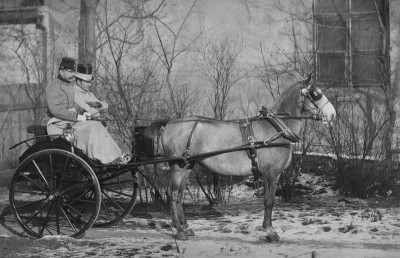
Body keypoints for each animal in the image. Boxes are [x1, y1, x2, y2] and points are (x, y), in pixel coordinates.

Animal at [145, 77, 336, 242]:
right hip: (177, 166)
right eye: (315, 93)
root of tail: (170, 122)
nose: (333, 115)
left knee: (178, 194)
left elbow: (269, 201)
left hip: (187, 165)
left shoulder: (274, 175)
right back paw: (179, 231)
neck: (276, 129)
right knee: (172, 194)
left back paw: (186, 227)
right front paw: (270, 232)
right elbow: (269, 201)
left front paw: (268, 229)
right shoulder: (271, 174)